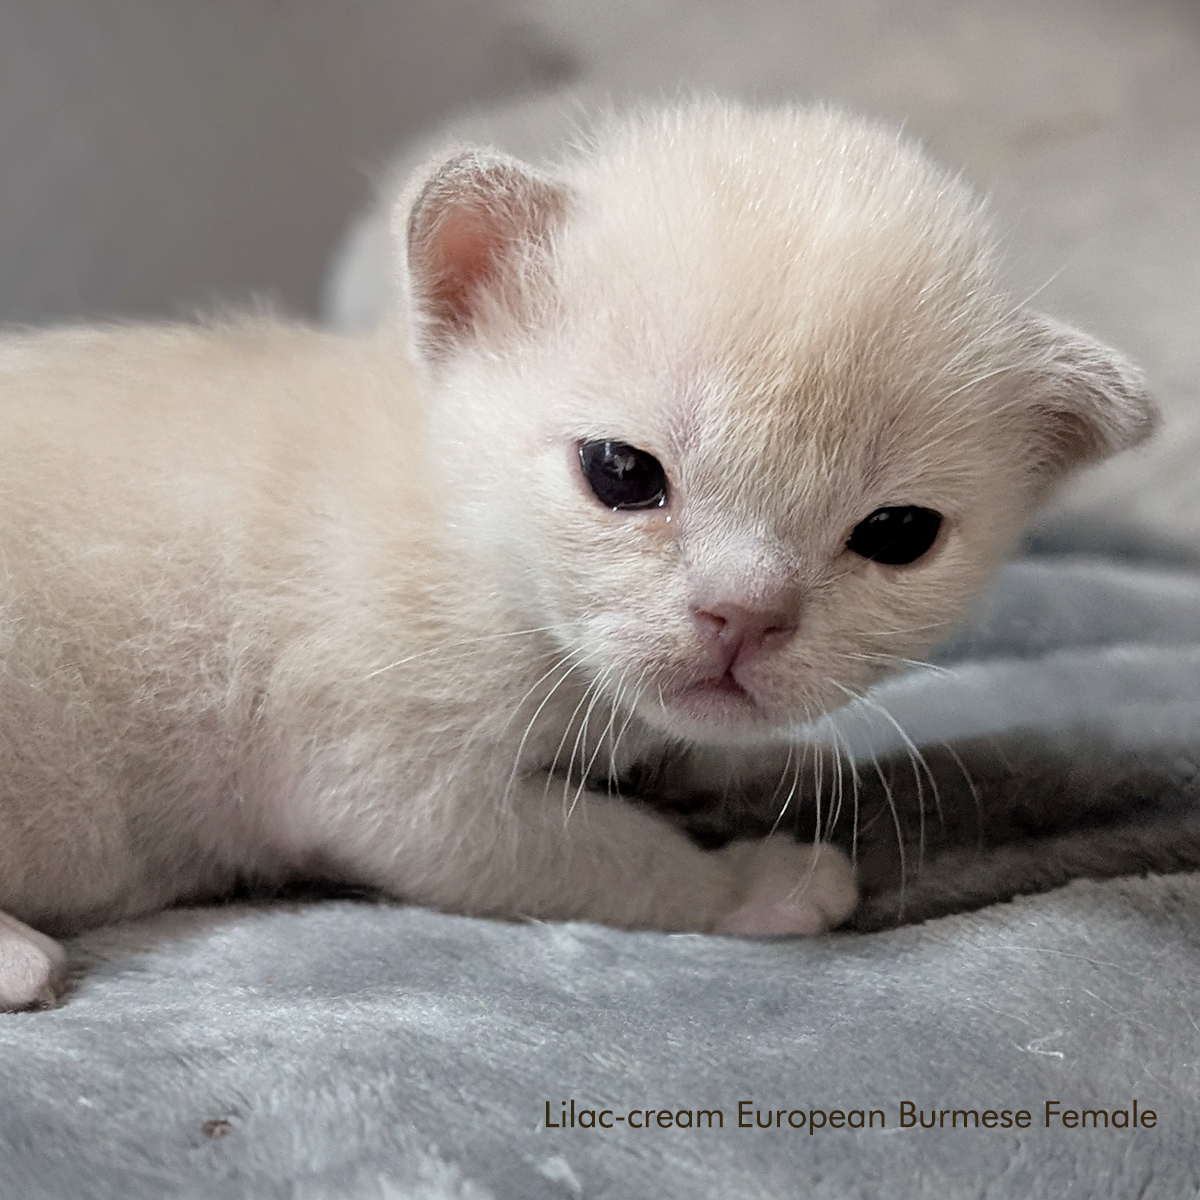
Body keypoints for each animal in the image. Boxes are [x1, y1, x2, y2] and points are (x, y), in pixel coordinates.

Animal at [0, 98, 1156, 1009]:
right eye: (621, 472)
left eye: (898, 535)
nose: (745, 615)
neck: (466, 528)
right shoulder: (389, 780)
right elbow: (605, 853)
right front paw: (753, 885)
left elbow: (675, 747)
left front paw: (761, 763)